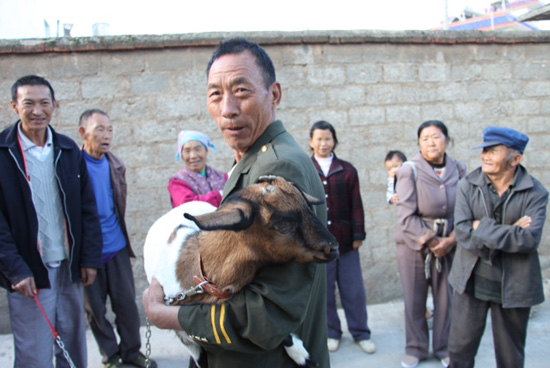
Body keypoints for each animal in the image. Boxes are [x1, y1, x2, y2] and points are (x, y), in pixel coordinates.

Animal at [144, 177, 338, 366]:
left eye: (308, 209)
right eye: (282, 225)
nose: (333, 247)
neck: (202, 276)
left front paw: (302, 356)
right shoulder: (185, 337)